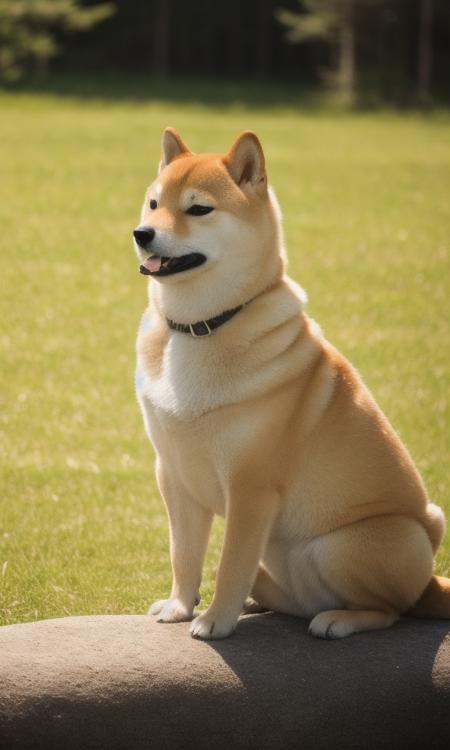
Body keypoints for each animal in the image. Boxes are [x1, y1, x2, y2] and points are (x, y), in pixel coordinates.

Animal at [132, 128, 448, 640]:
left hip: (347, 545)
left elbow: (229, 562)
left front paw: (214, 620)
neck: (200, 328)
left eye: (198, 209)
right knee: (279, 593)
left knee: (392, 609)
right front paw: (181, 606)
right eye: (154, 203)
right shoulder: (173, 473)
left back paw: (340, 618)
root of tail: (430, 581)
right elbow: (185, 554)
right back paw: (261, 604)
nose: (142, 234)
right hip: (283, 565)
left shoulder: (251, 486)